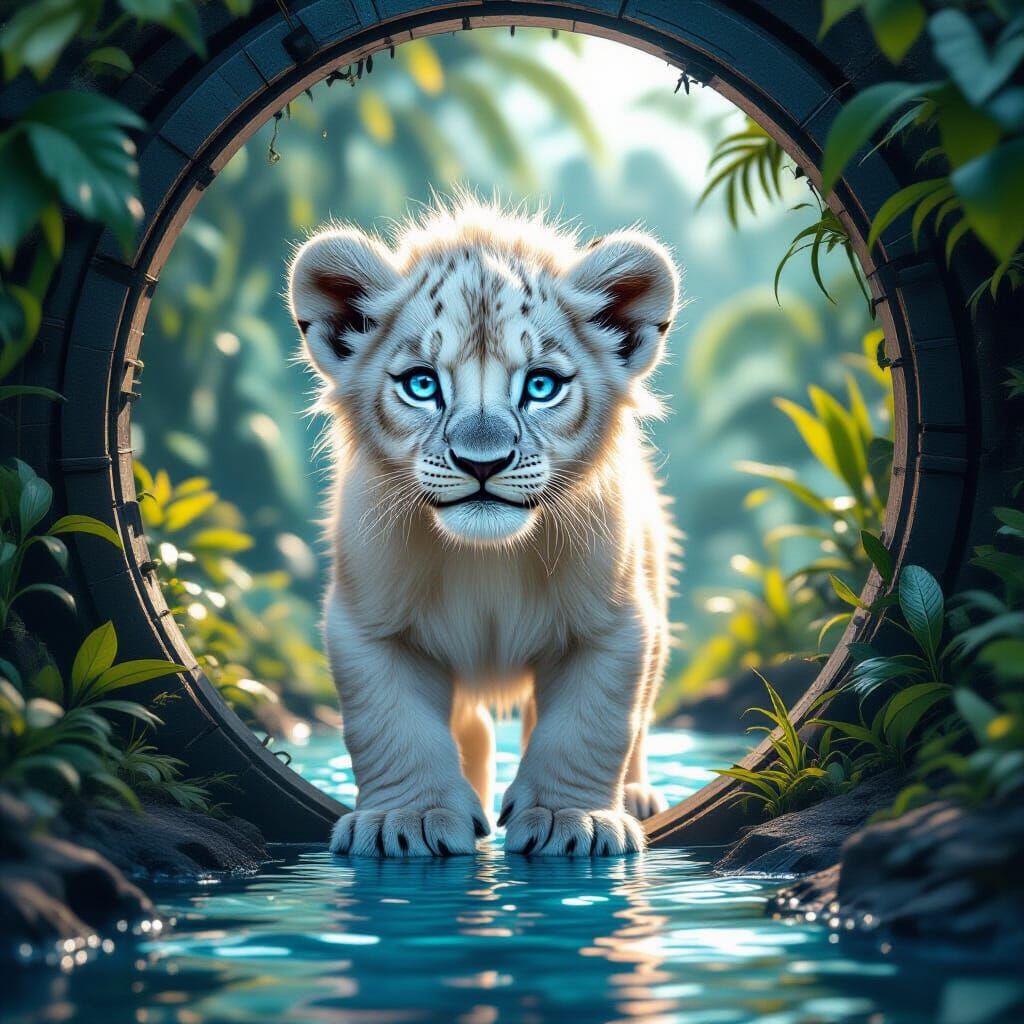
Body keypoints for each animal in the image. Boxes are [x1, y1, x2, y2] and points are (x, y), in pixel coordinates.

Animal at [289, 197, 680, 857]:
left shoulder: (615, 625)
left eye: (541, 386)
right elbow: (392, 728)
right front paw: (407, 821)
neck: (487, 558)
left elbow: (590, 726)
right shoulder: (369, 627)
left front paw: (571, 820)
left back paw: (635, 796)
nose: (481, 463)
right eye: (422, 384)